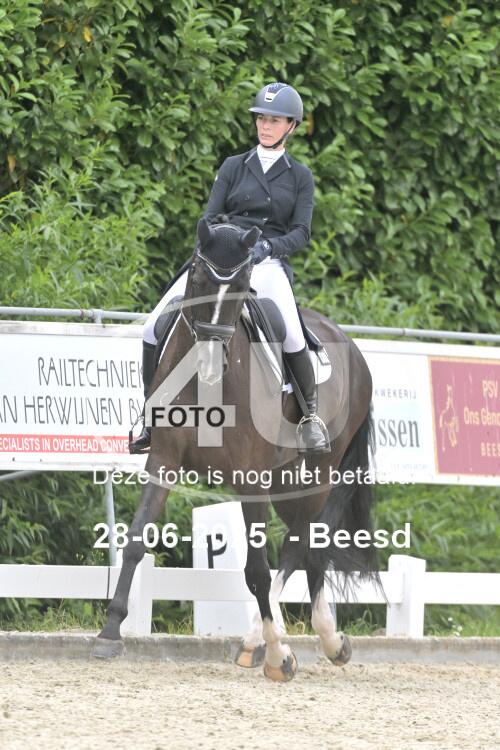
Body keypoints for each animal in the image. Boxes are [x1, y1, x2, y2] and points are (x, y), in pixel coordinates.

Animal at [93, 218, 378, 681]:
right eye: (197, 278)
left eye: (242, 286)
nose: (209, 363)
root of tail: (350, 345)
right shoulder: (163, 462)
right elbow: (135, 540)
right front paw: (109, 633)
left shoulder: (250, 480)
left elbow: (256, 569)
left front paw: (279, 655)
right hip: (286, 480)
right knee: (303, 544)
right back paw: (268, 640)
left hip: (317, 473)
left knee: (307, 544)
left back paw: (314, 639)